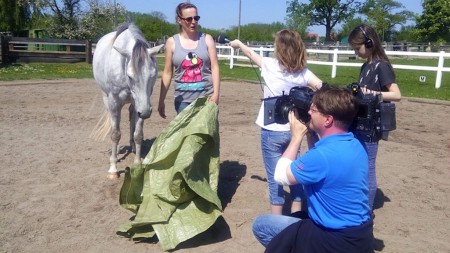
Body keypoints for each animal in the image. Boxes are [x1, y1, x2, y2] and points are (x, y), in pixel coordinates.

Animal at [91, 22, 162, 179]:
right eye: (130, 76)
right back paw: (116, 152)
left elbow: (138, 134)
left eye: (153, 75)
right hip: (107, 99)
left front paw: (137, 163)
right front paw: (113, 169)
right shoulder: (114, 103)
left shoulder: (140, 105)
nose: (146, 113)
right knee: (114, 127)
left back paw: (134, 147)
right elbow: (116, 134)